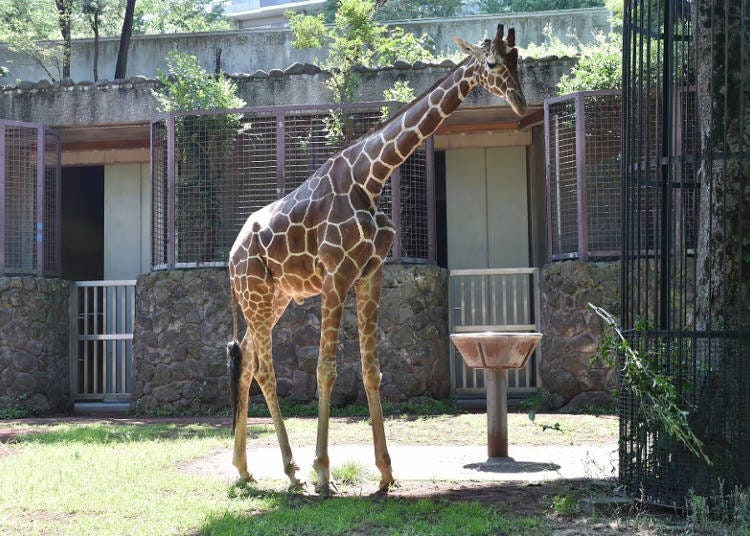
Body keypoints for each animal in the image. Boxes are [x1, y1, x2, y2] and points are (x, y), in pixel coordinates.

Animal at [229, 24, 528, 494]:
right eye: (493, 63)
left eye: (520, 60)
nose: (520, 102)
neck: (371, 177)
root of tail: (230, 254)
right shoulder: (336, 275)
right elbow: (326, 369)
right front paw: (323, 472)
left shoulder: (370, 274)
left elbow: (372, 371)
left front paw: (386, 473)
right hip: (256, 294)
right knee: (264, 369)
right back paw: (292, 472)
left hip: (274, 298)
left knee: (244, 359)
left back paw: (243, 468)